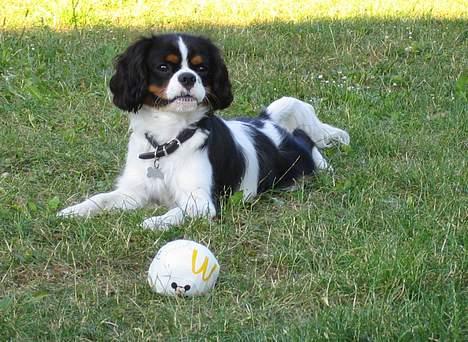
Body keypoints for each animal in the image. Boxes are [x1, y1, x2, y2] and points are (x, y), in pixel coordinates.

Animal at [58, 32, 350, 230]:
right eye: (163, 67)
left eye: (201, 67)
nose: (188, 77)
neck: (168, 138)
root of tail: (266, 122)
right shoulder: (133, 193)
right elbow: (100, 200)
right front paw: (72, 211)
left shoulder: (200, 202)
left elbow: (176, 213)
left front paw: (154, 222)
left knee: (307, 142)